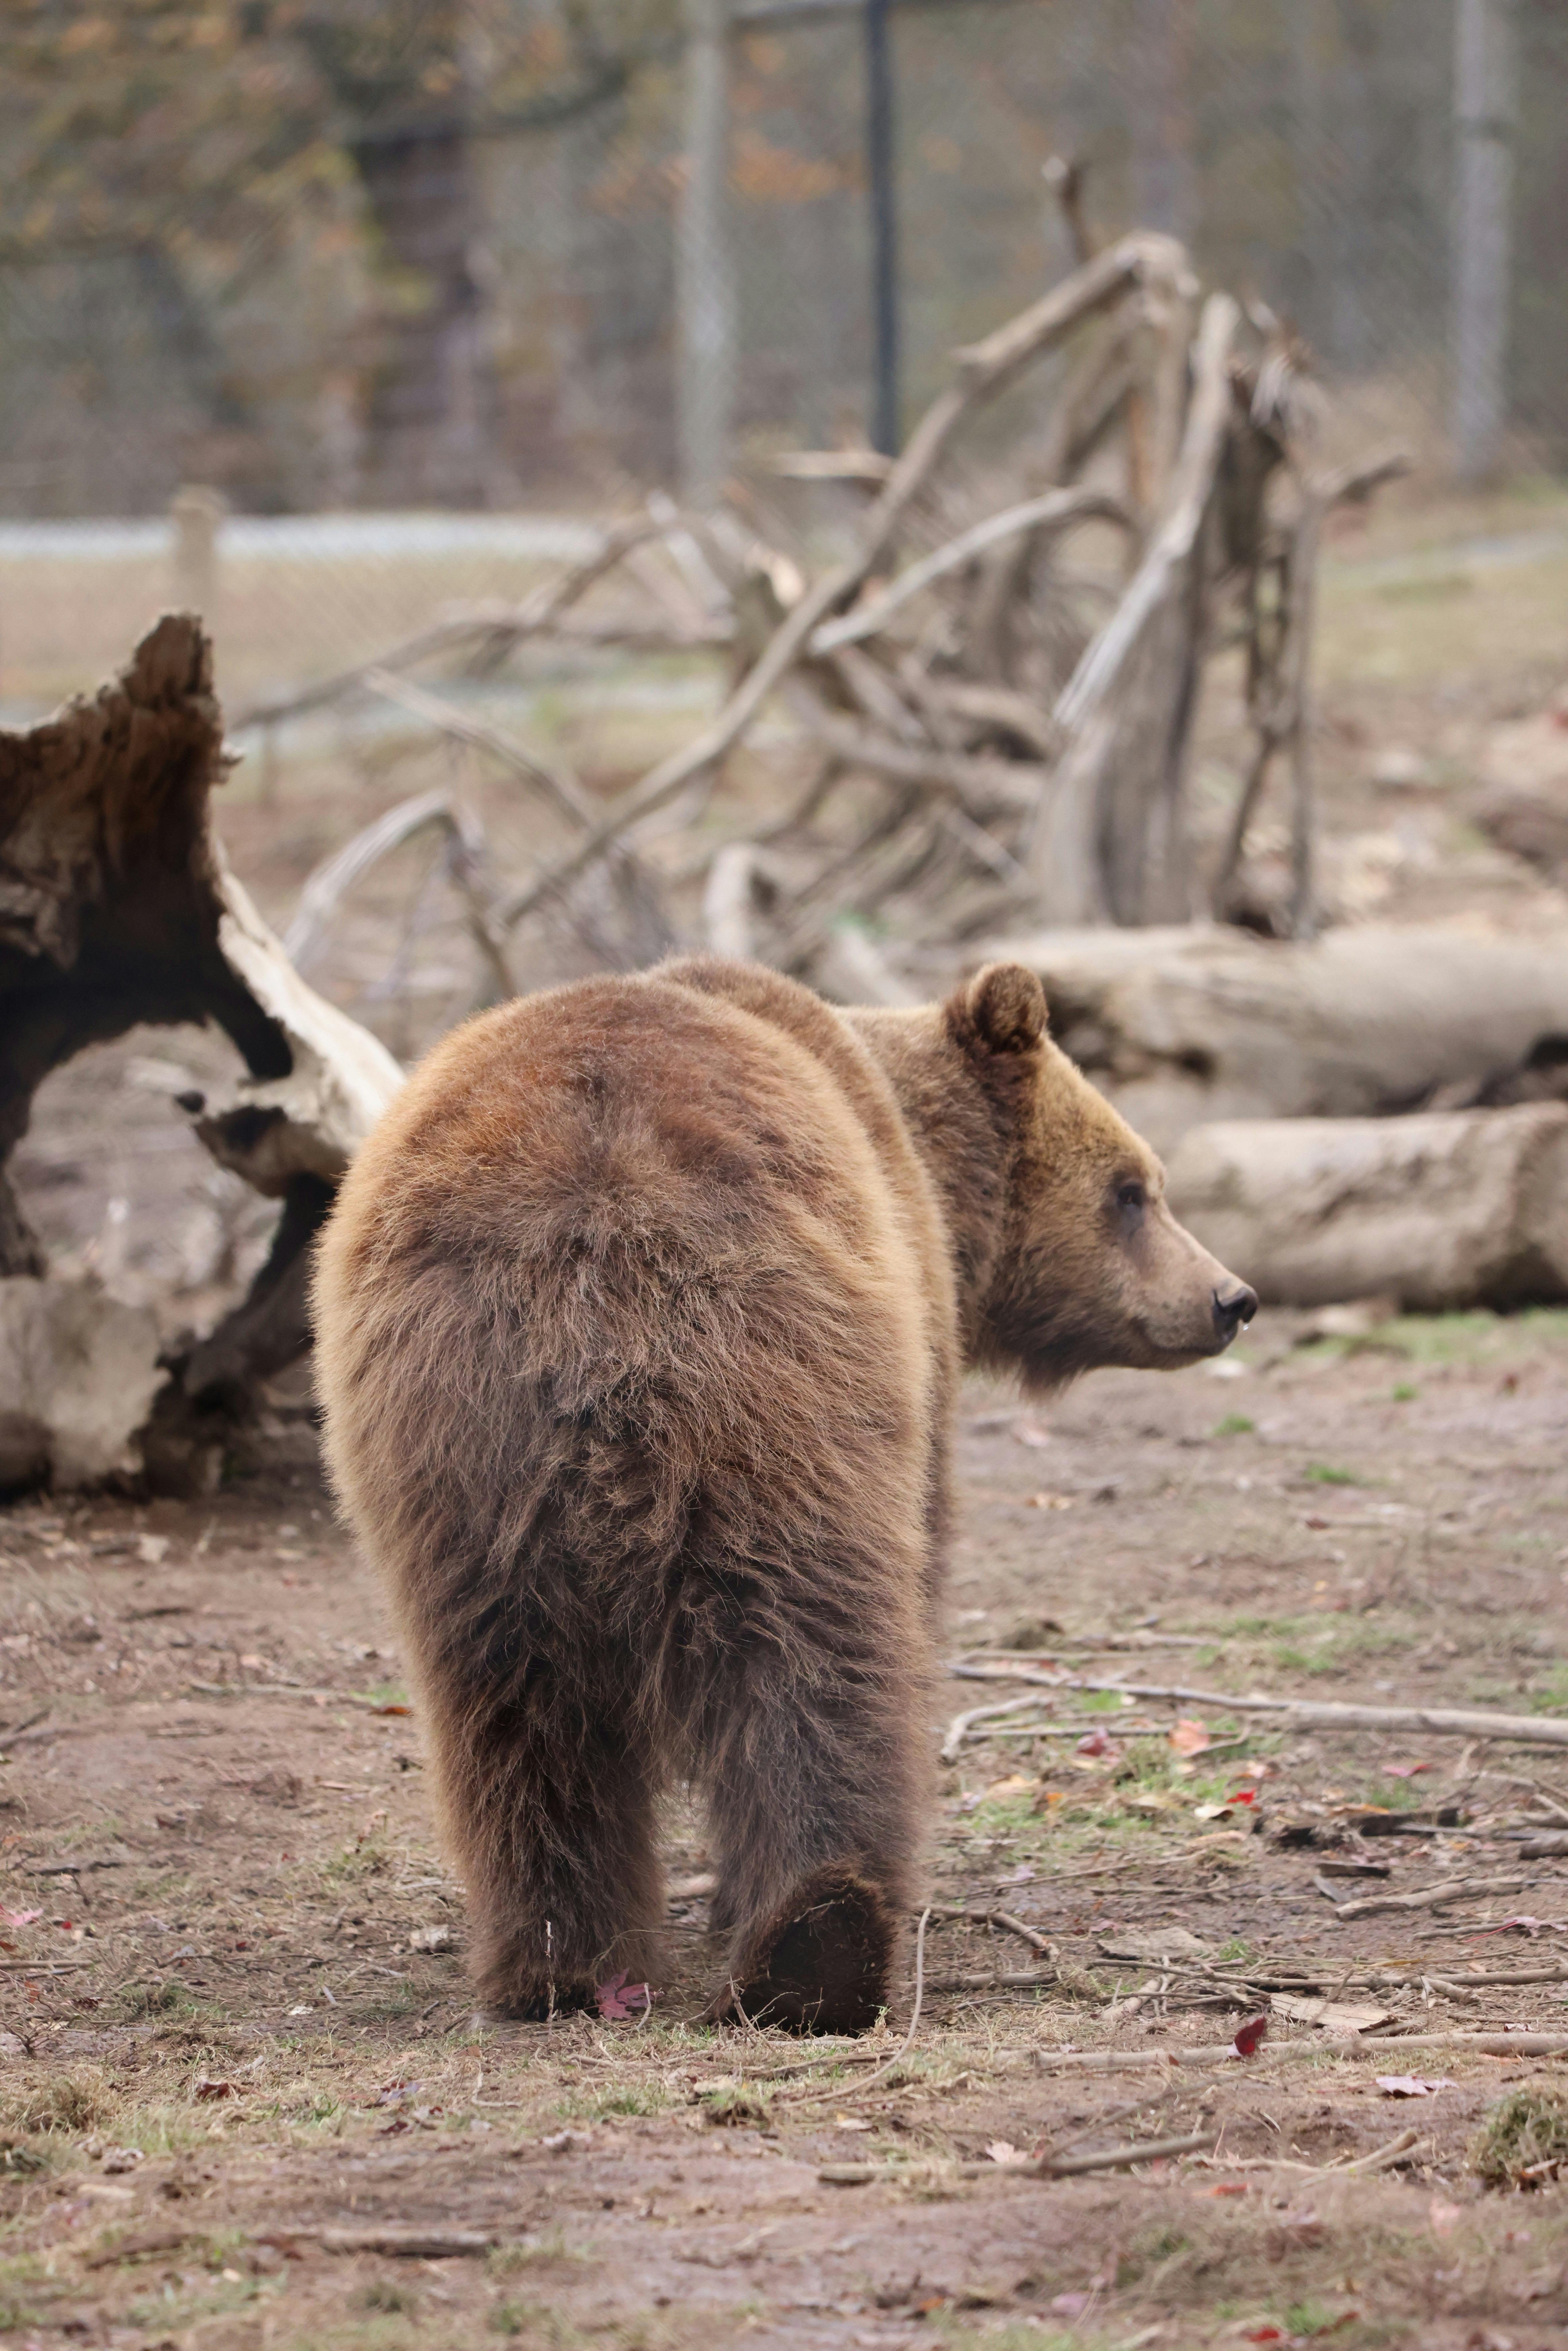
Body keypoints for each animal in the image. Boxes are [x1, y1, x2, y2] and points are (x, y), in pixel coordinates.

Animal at [312, 957, 1255, 2033]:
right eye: (1132, 1189)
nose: (1231, 1298)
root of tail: (586, 1232)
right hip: (775, 1380)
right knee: (811, 1654)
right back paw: (818, 1941)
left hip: (455, 1439)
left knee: (511, 1705)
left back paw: (559, 1964)